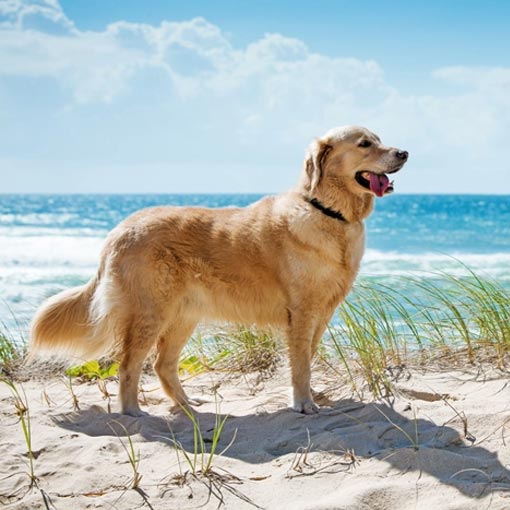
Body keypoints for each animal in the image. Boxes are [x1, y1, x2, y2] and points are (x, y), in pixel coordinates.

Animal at [29, 126, 408, 414]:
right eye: (364, 144)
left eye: (380, 138)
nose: (404, 152)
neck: (328, 211)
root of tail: (120, 228)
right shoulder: (301, 312)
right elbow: (300, 364)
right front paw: (303, 403)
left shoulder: (322, 312)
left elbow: (308, 358)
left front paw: (311, 396)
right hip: (151, 312)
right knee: (128, 365)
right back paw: (133, 412)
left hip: (183, 315)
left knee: (162, 365)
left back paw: (187, 405)